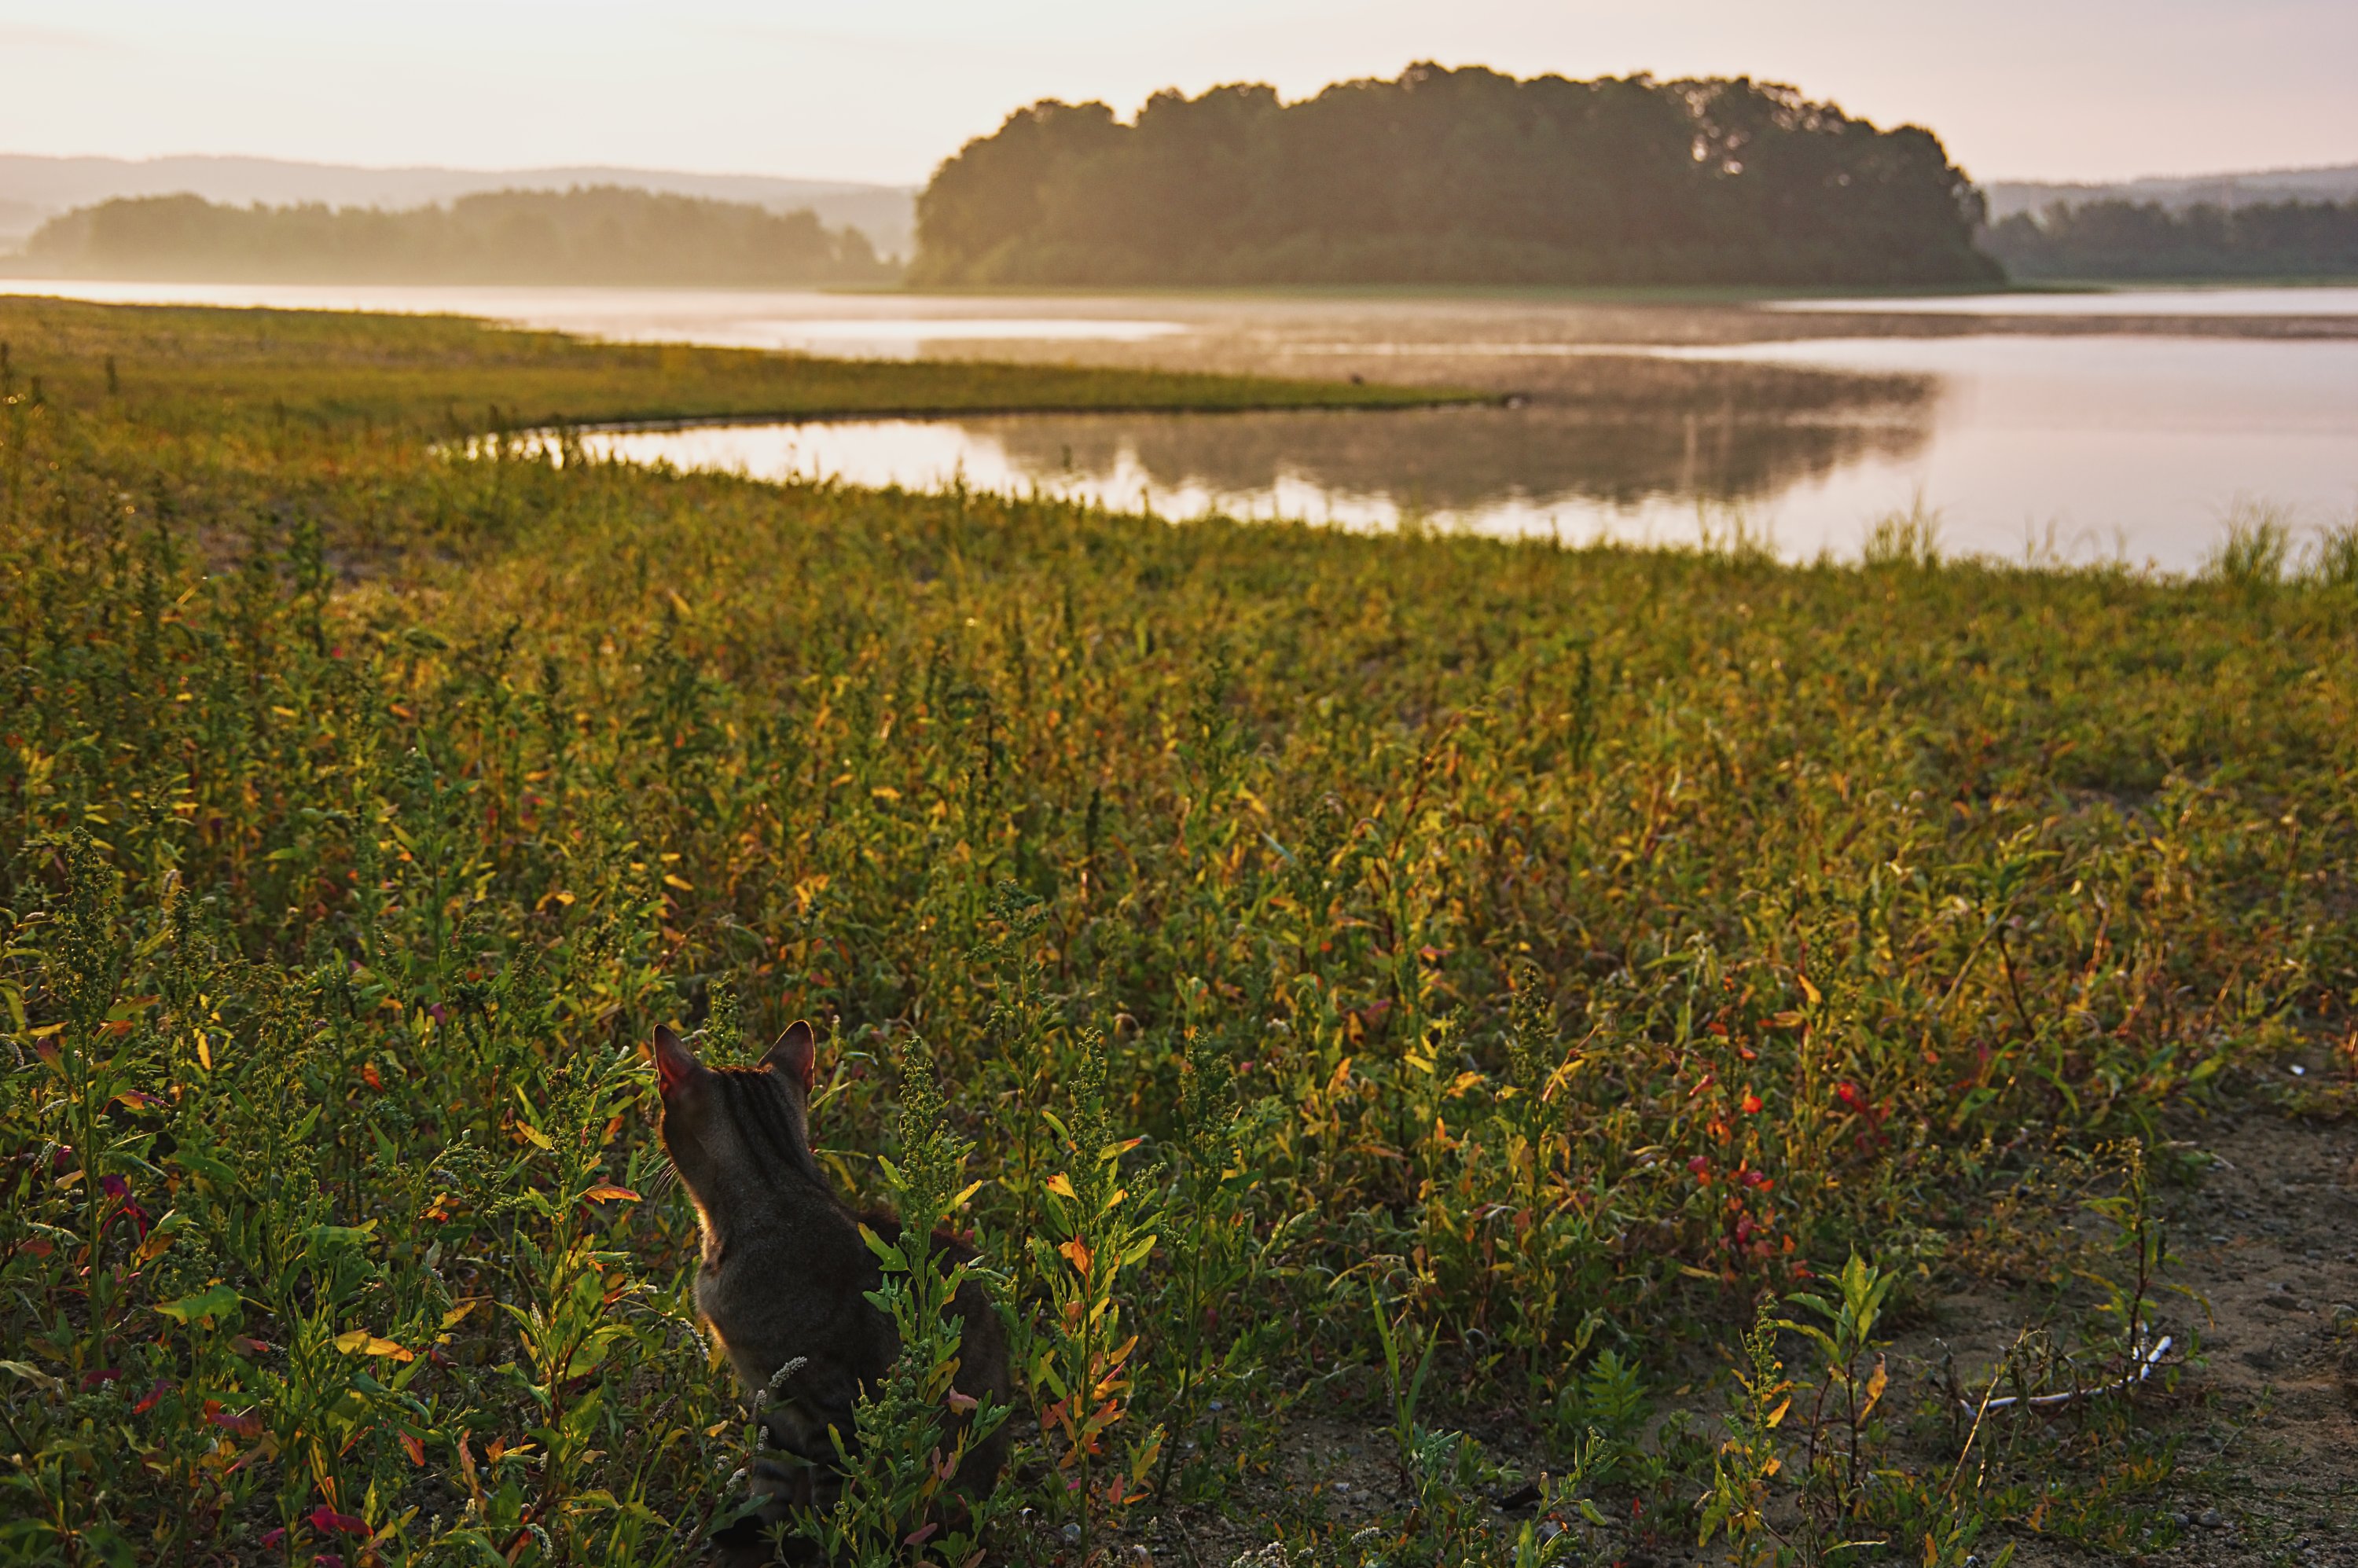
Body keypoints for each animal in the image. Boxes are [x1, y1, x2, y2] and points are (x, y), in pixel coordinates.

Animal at [651, 1014, 1009, 1556]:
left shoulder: (832, 1405)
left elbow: (831, 1510)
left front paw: (807, 1546)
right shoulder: (772, 1403)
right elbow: (771, 1484)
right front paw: (759, 1533)